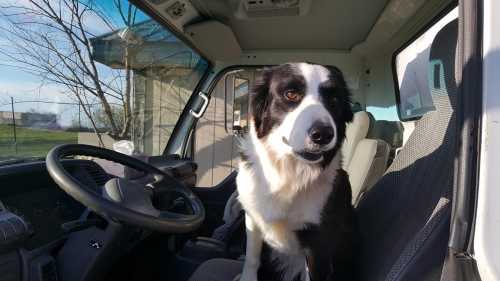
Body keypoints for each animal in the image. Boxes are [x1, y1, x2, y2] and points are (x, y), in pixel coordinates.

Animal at [237, 62, 356, 278]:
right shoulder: (252, 218)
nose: (323, 134)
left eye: (334, 99)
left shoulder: (319, 244)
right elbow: (251, 257)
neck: (288, 172)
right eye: (291, 94)